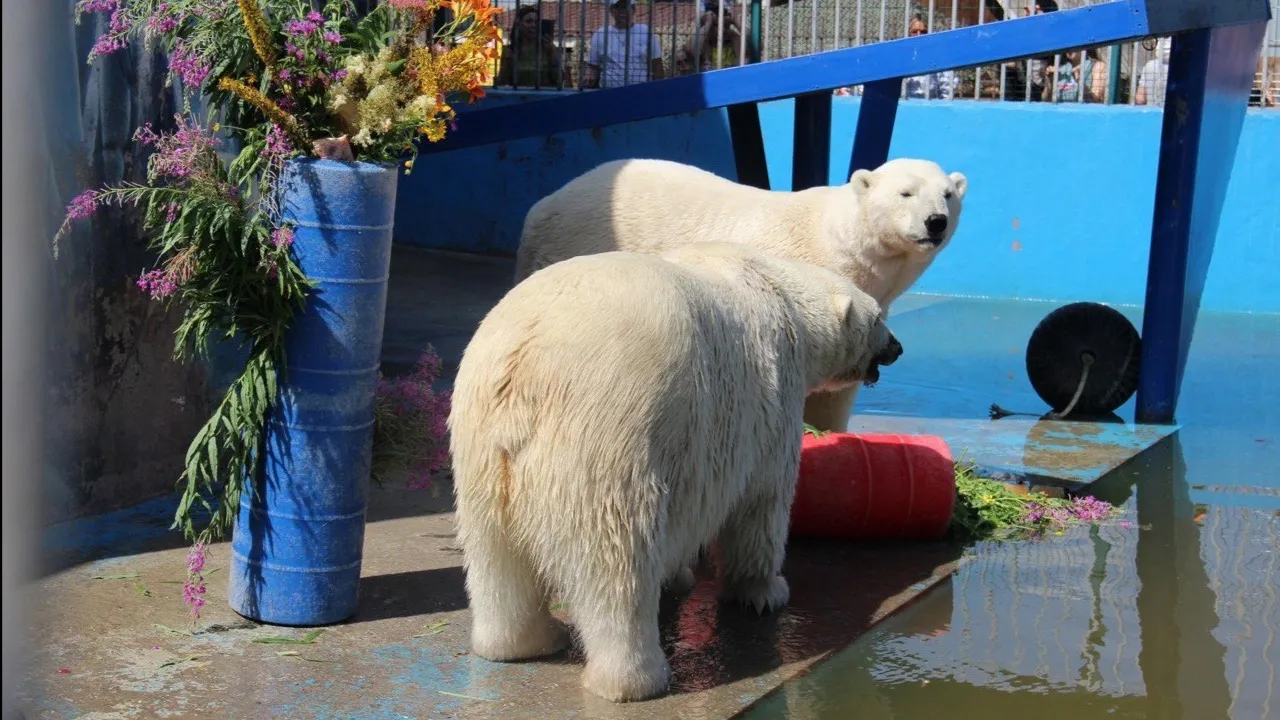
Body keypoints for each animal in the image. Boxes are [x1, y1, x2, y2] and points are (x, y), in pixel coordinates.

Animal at [450, 240, 901, 702]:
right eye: (879, 318)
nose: (897, 347)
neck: (778, 290)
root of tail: (525, 362)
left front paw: (681, 576)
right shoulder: (766, 408)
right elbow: (761, 505)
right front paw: (766, 591)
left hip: (480, 445)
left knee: (495, 555)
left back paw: (522, 642)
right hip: (608, 440)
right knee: (617, 560)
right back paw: (636, 679)